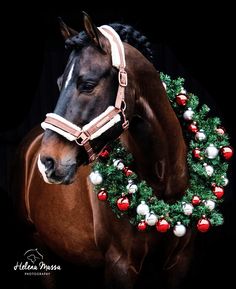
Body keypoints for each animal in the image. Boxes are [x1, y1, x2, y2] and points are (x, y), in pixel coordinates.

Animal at [12, 12, 195, 286]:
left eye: (87, 84)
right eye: (59, 83)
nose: (47, 162)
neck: (163, 187)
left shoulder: (179, 263)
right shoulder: (120, 265)